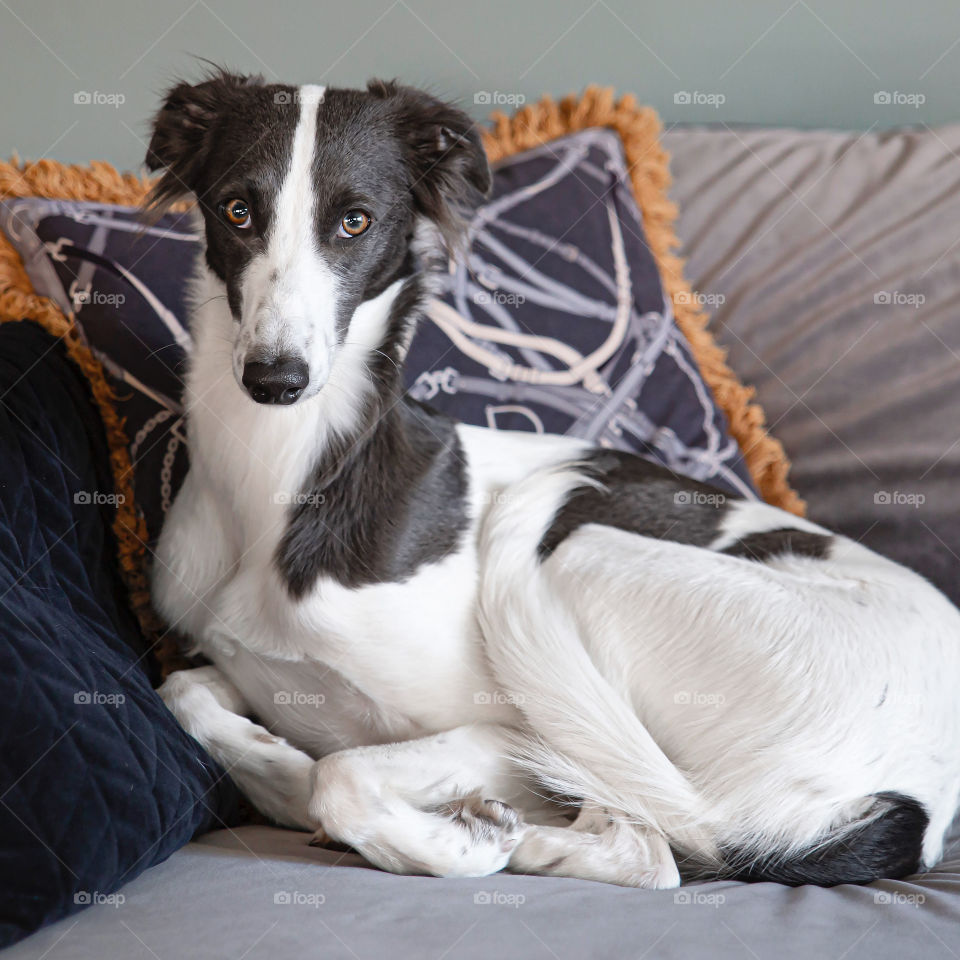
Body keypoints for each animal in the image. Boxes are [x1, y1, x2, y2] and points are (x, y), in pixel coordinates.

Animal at [148, 71, 960, 888]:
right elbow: (181, 689)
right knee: (644, 847)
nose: (275, 378)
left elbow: (340, 772)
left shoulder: (508, 730)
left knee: (655, 852)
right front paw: (283, 774)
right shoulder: (234, 659)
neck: (277, 480)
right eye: (238, 210)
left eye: (354, 221)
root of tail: (916, 804)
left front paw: (454, 843)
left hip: (581, 560)